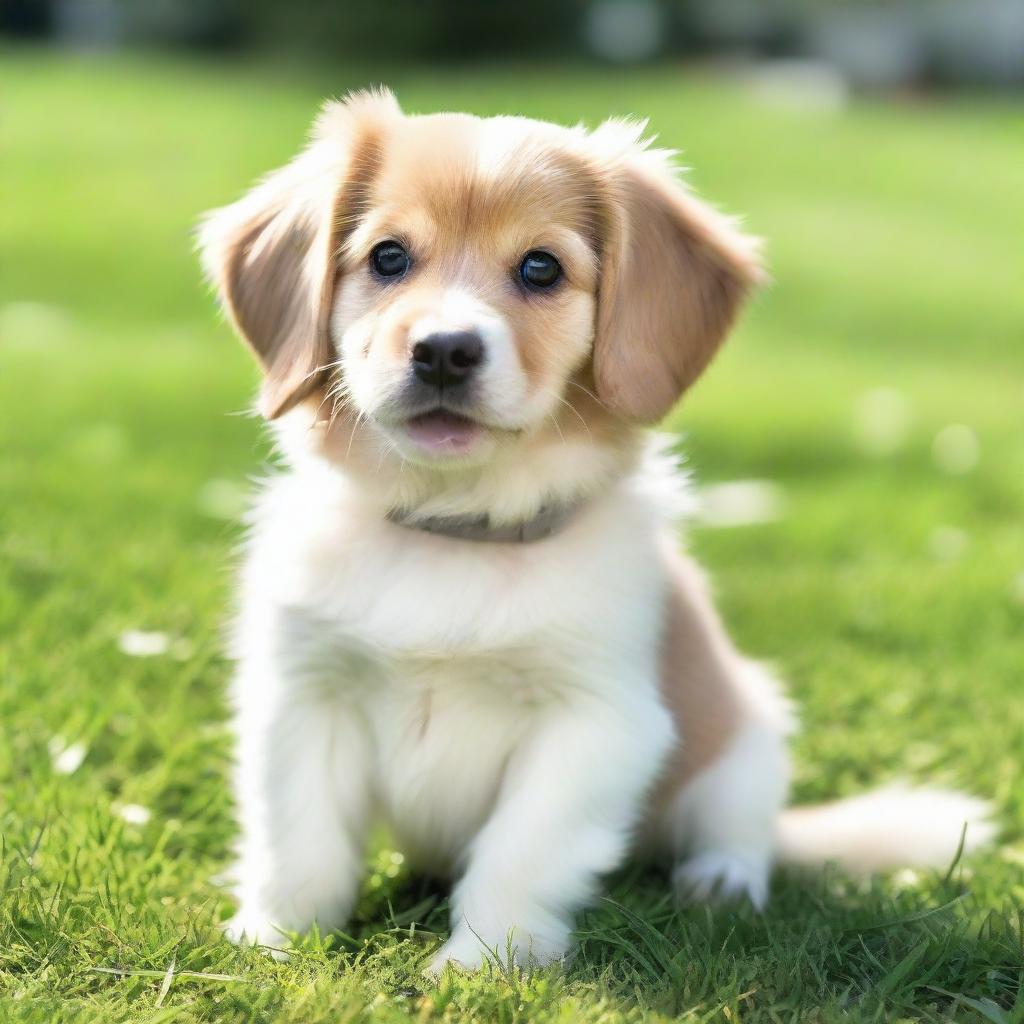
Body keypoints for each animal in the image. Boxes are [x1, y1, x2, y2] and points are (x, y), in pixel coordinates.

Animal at [199, 92, 991, 970]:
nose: (443, 351)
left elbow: (518, 853)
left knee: (741, 829)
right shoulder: (302, 696)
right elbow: (299, 843)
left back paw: (722, 881)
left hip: (746, 741)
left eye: (541, 268)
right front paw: (272, 943)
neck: (456, 529)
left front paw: (480, 965)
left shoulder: (597, 723)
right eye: (388, 257)